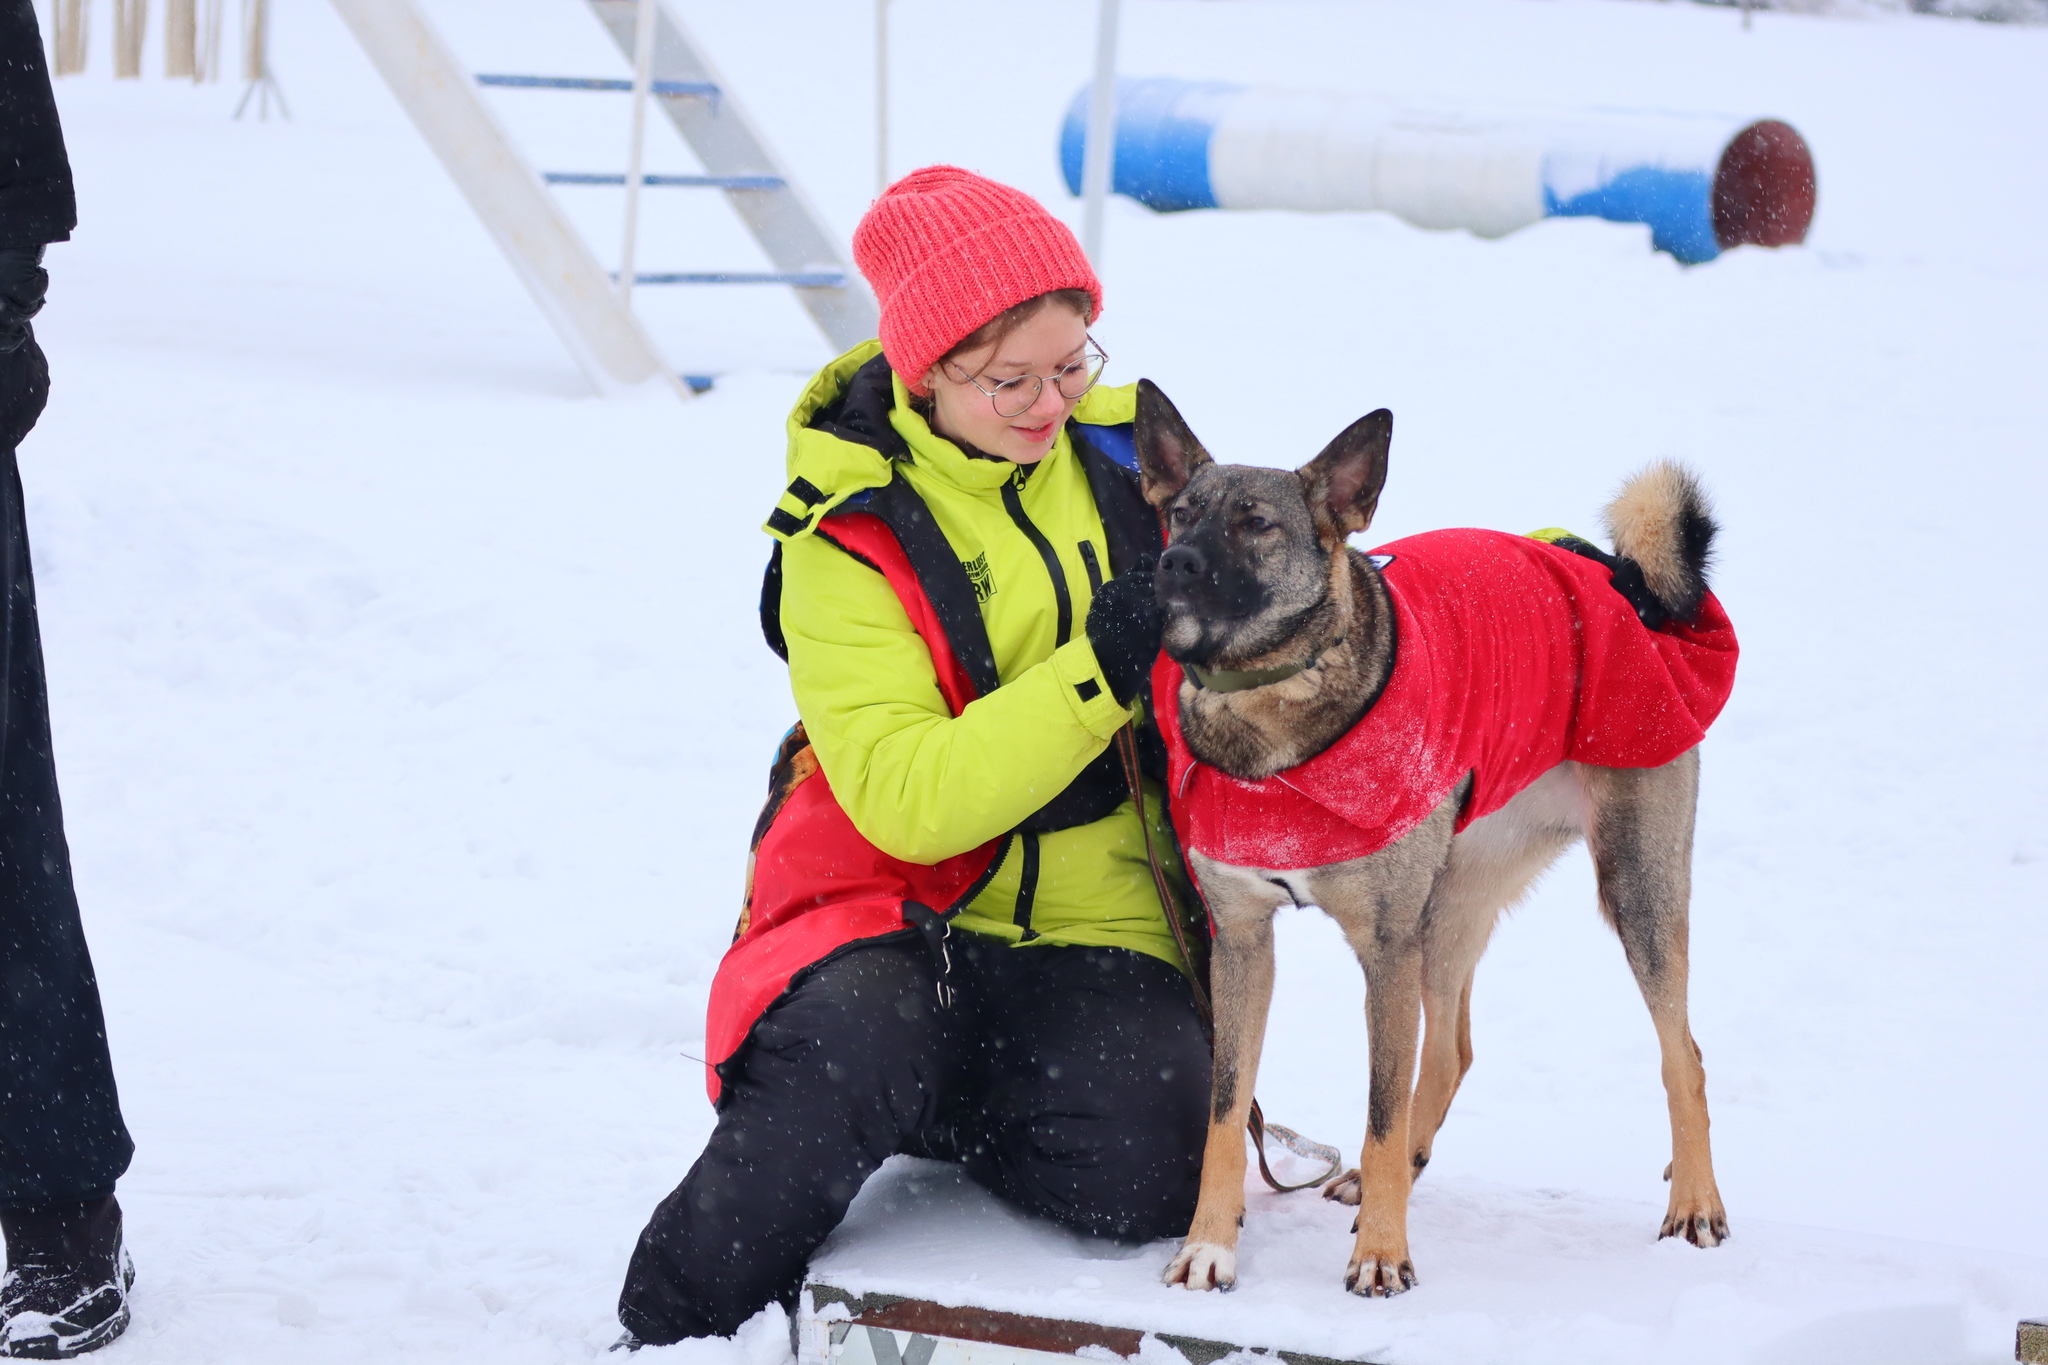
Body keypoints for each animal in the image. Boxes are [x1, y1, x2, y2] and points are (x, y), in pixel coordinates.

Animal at [1138, 382, 1744, 1293]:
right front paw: (1209, 1244)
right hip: (1451, 896)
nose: (1175, 564)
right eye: (1182, 513)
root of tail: (1628, 579)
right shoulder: (1241, 937)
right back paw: (1372, 1176)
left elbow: (1382, 1107)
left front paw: (1382, 1255)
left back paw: (1697, 1201)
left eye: (1256, 522)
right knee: (1453, 1047)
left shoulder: (1384, 948)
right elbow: (1224, 1109)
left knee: (1686, 1053)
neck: (1272, 709)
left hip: (1633, 885)